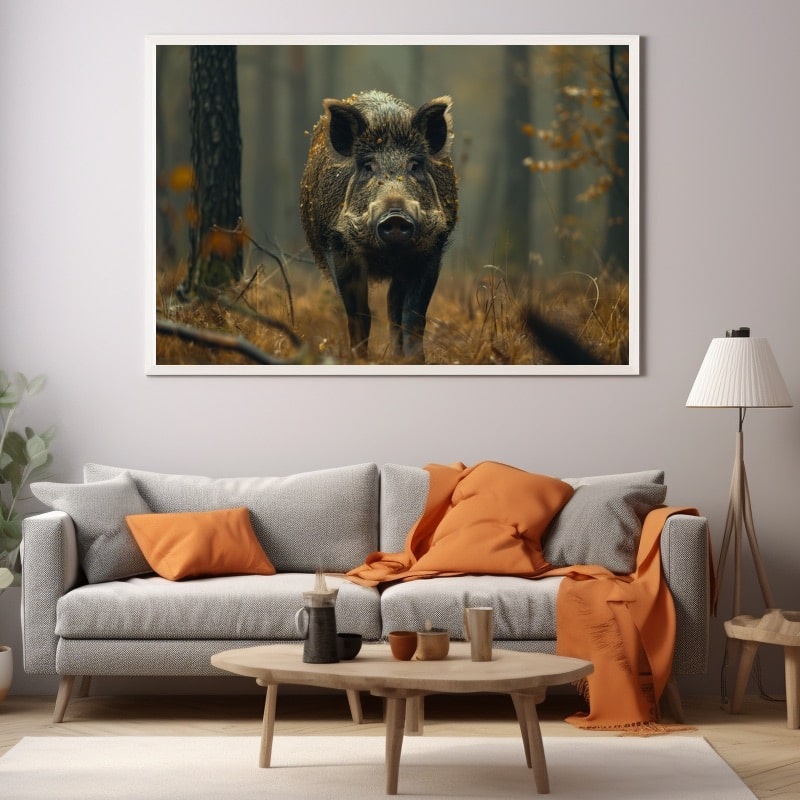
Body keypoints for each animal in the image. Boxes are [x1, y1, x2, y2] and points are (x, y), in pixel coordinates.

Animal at [299, 90, 458, 363]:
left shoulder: (431, 251)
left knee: (393, 304)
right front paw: (358, 360)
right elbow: (359, 315)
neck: (387, 257)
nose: (395, 216)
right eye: (368, 166)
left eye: (415, 165)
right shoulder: (338, 248)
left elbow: (413, 315)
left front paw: (415, 361)